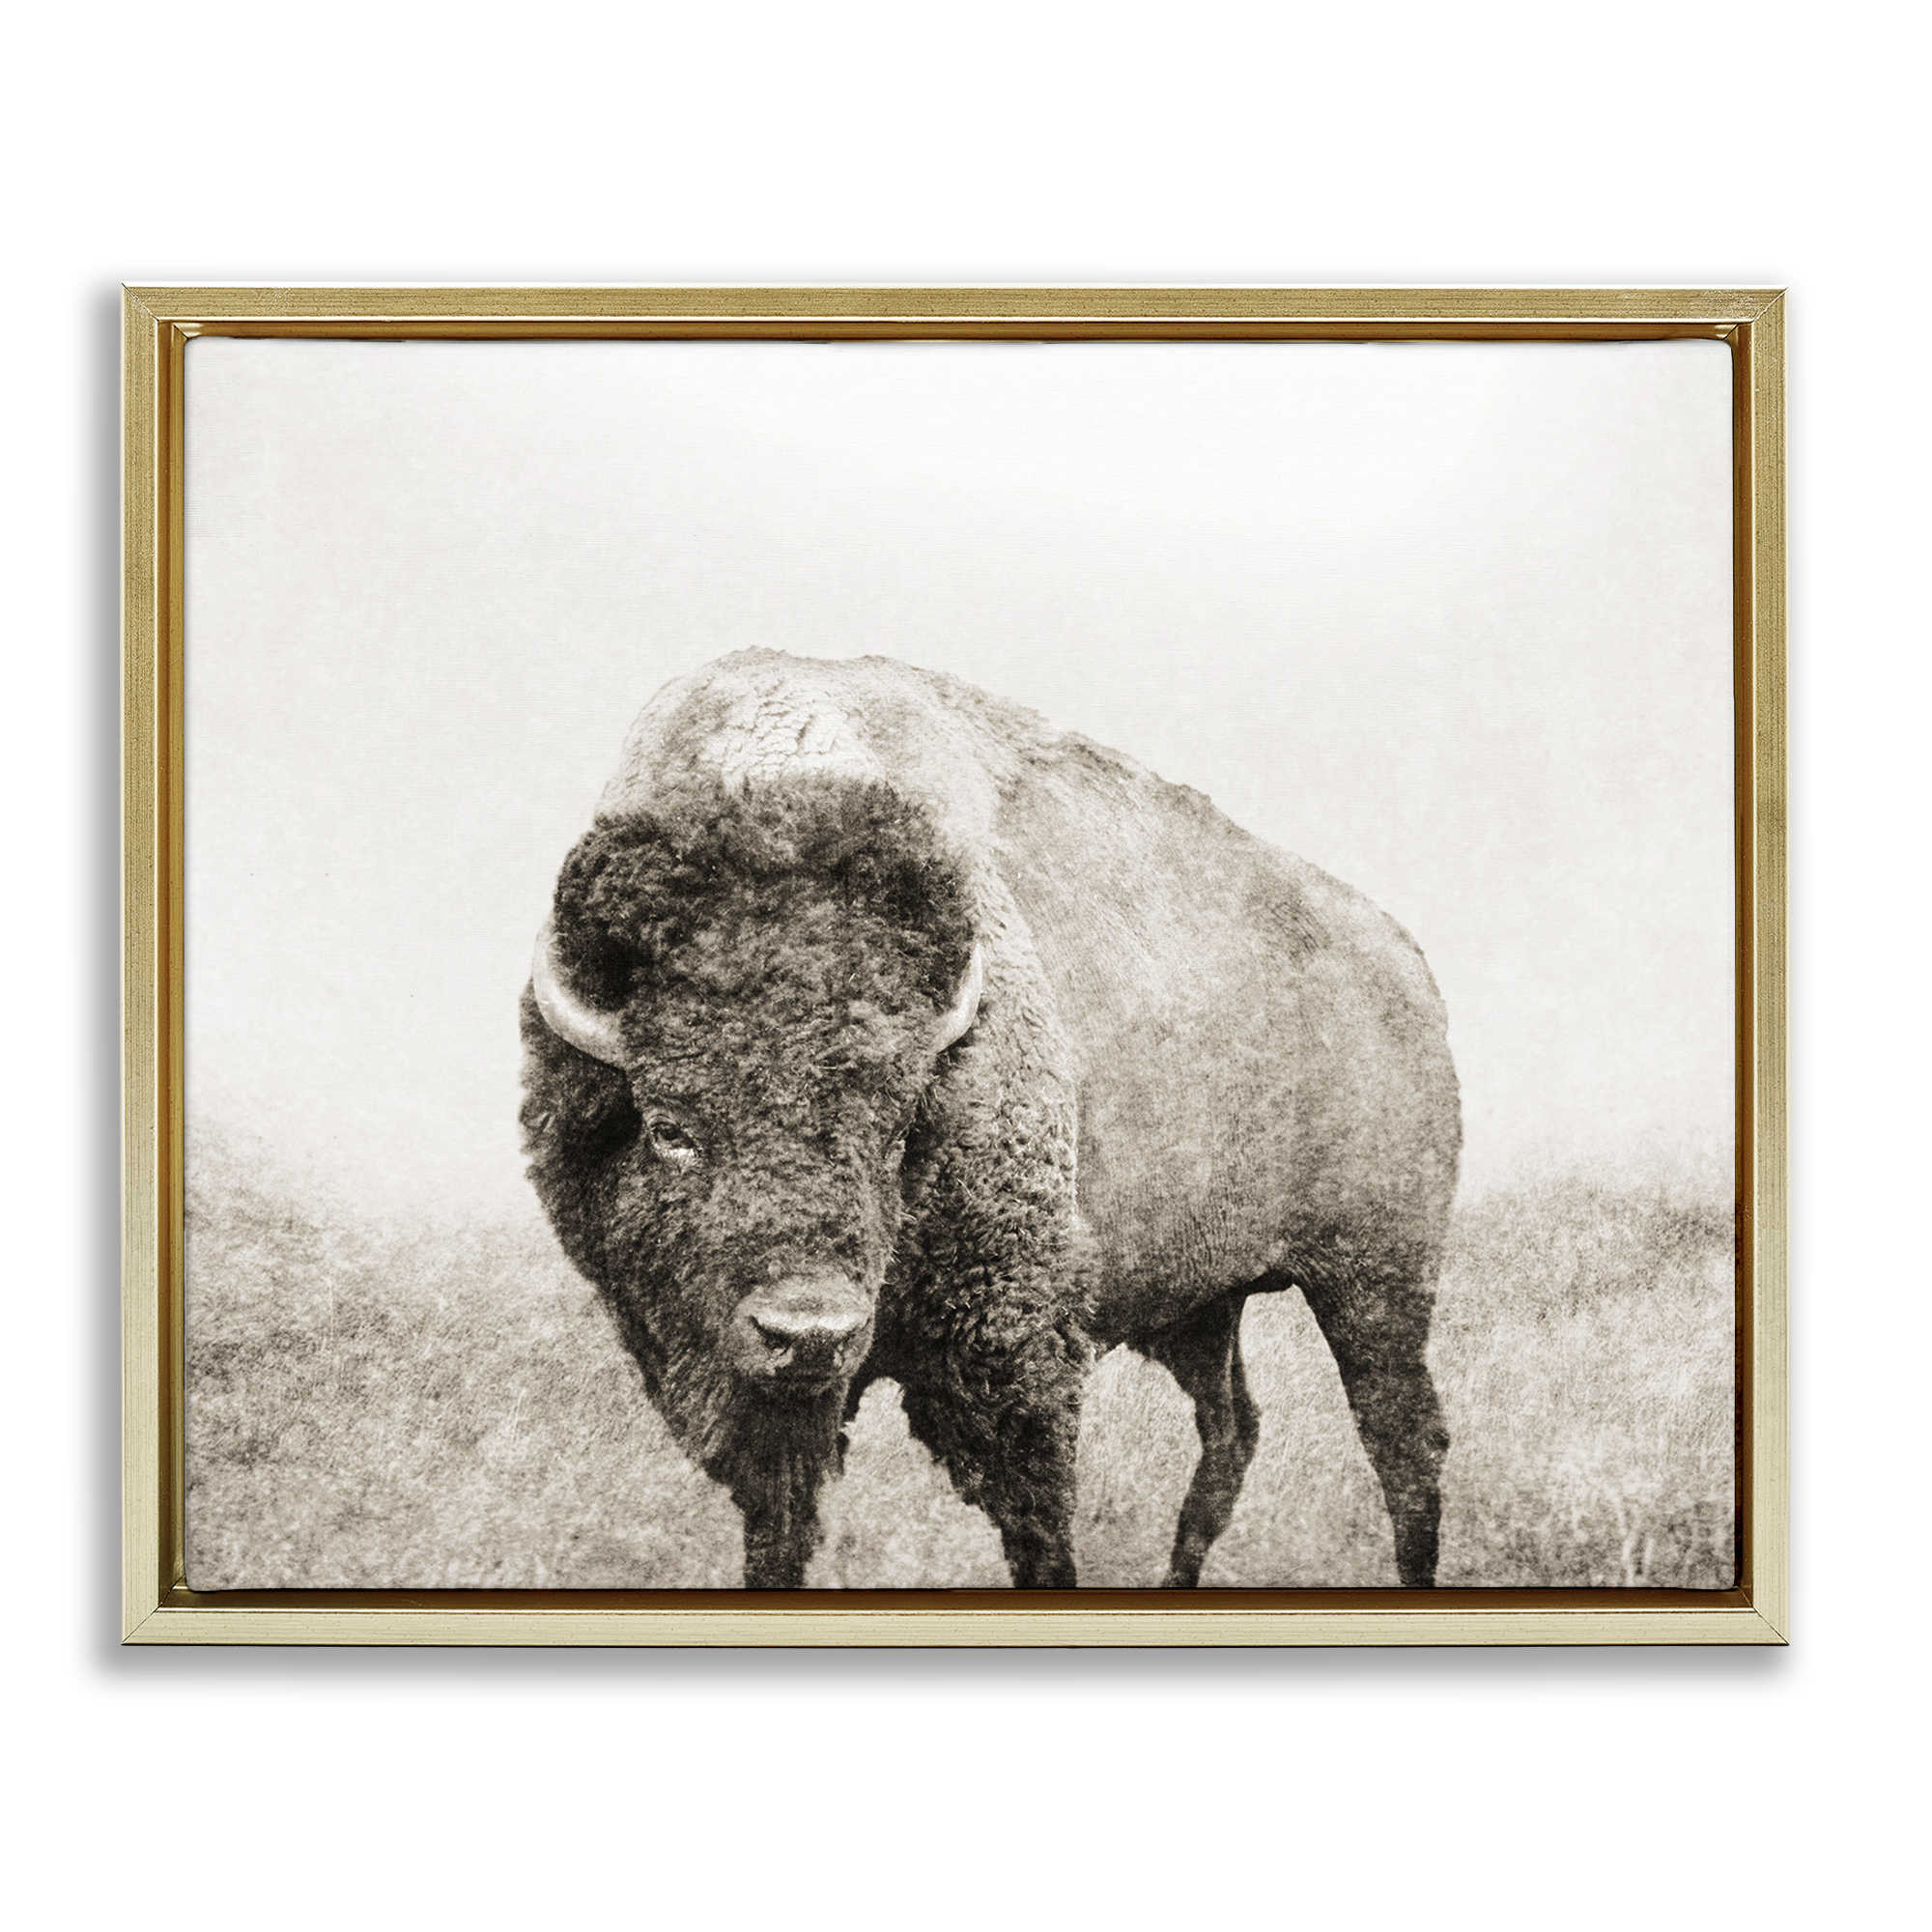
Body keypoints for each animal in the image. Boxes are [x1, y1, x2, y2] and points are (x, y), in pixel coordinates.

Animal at [520, 651, 1459, 1588]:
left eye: (898, 1130)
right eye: (669, 1129)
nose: (810, 1333)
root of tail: (1407, 962)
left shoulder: (1013, 1349)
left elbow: (1038, 1524)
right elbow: (778, 1529)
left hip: (1375, 1280)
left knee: (1405, 1444)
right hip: (1206, 1304)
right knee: (1232, 1432)